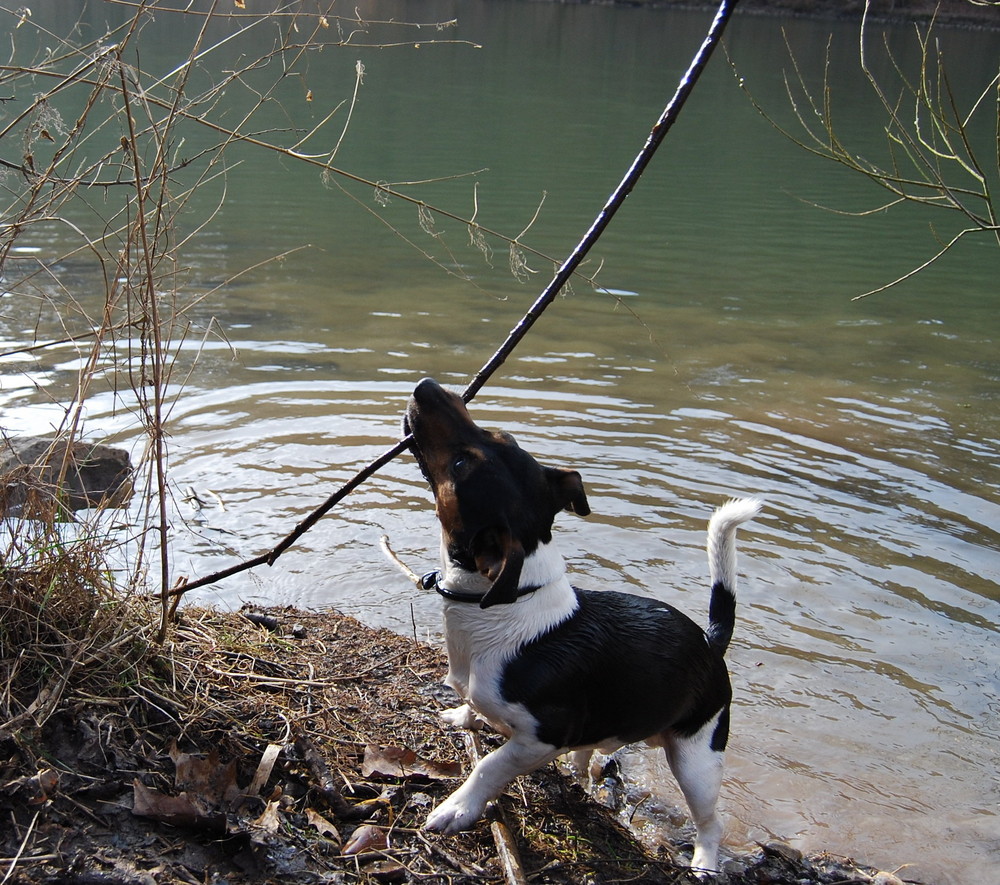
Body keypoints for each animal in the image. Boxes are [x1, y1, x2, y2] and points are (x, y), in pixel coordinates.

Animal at [402, 376, 760, 872]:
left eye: (461, 463)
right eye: (499, 434)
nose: (426, 385)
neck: (502, 608)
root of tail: (710, 643)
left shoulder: (541, 739)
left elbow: (489, 766)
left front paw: (458, 807)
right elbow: (474, 711)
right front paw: (462, 716)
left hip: (698, 759)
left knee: (711, 822)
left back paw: (704, 861)